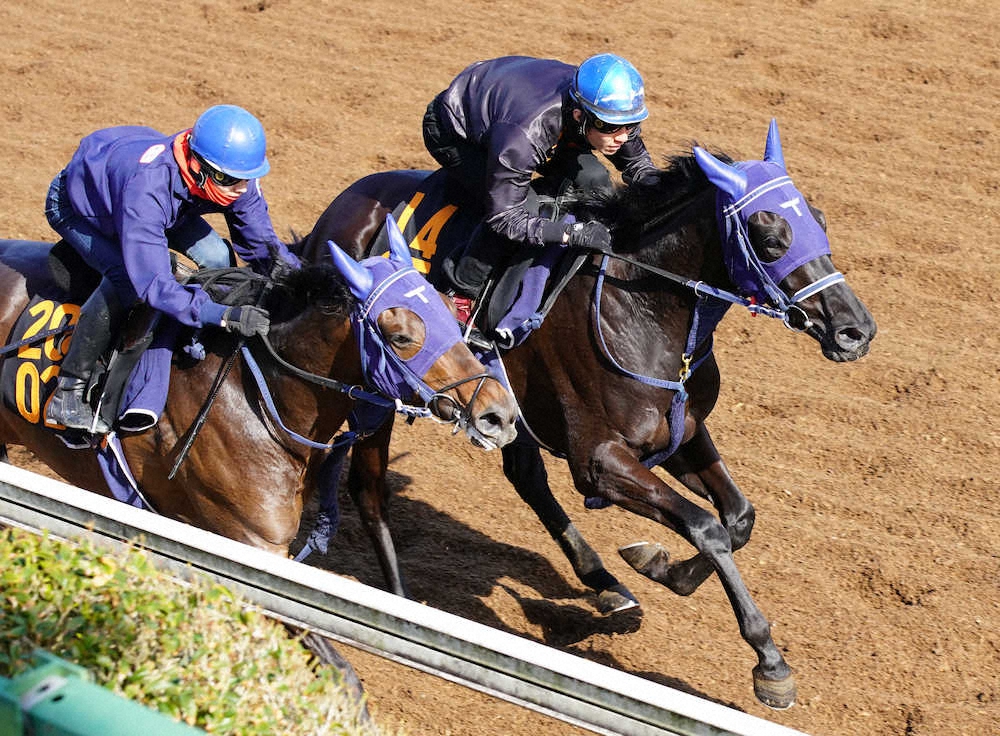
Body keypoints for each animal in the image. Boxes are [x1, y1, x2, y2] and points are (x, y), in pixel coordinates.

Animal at [296, 121, 876, 708]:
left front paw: (659, 567)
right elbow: (705, 526)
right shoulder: (600, 460)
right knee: (370, 489)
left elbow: (738, 517)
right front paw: (769, 662)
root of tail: (341, 209)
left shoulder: (679, 433)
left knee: (526, 477)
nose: (856, 329)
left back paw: (605, 582)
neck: (641, 304)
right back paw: (400, 603)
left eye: (819, 220)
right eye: (770, 236)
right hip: (375, 395)